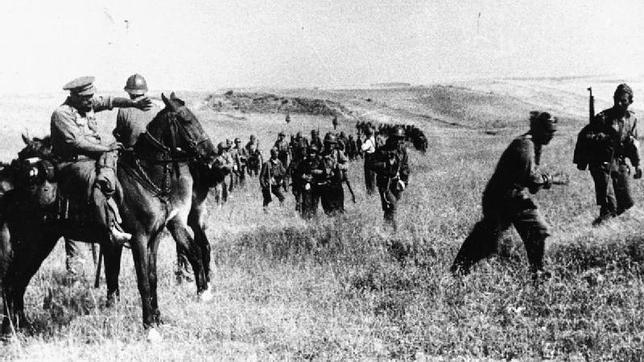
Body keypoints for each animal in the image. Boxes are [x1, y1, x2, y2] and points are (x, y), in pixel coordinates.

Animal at [0, 92, 216, 336]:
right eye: (187, 120)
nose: (211, 154)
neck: (143, 179)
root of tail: (12, 192)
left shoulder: (154, 238)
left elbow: (151, 278)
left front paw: (157, 320)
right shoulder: (138, 238)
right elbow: (142, 280)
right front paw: (149, 326)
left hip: (40, 243)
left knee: (17, 282)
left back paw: (21, 326)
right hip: (32, 244)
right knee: (12, 282)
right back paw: (12, 329)